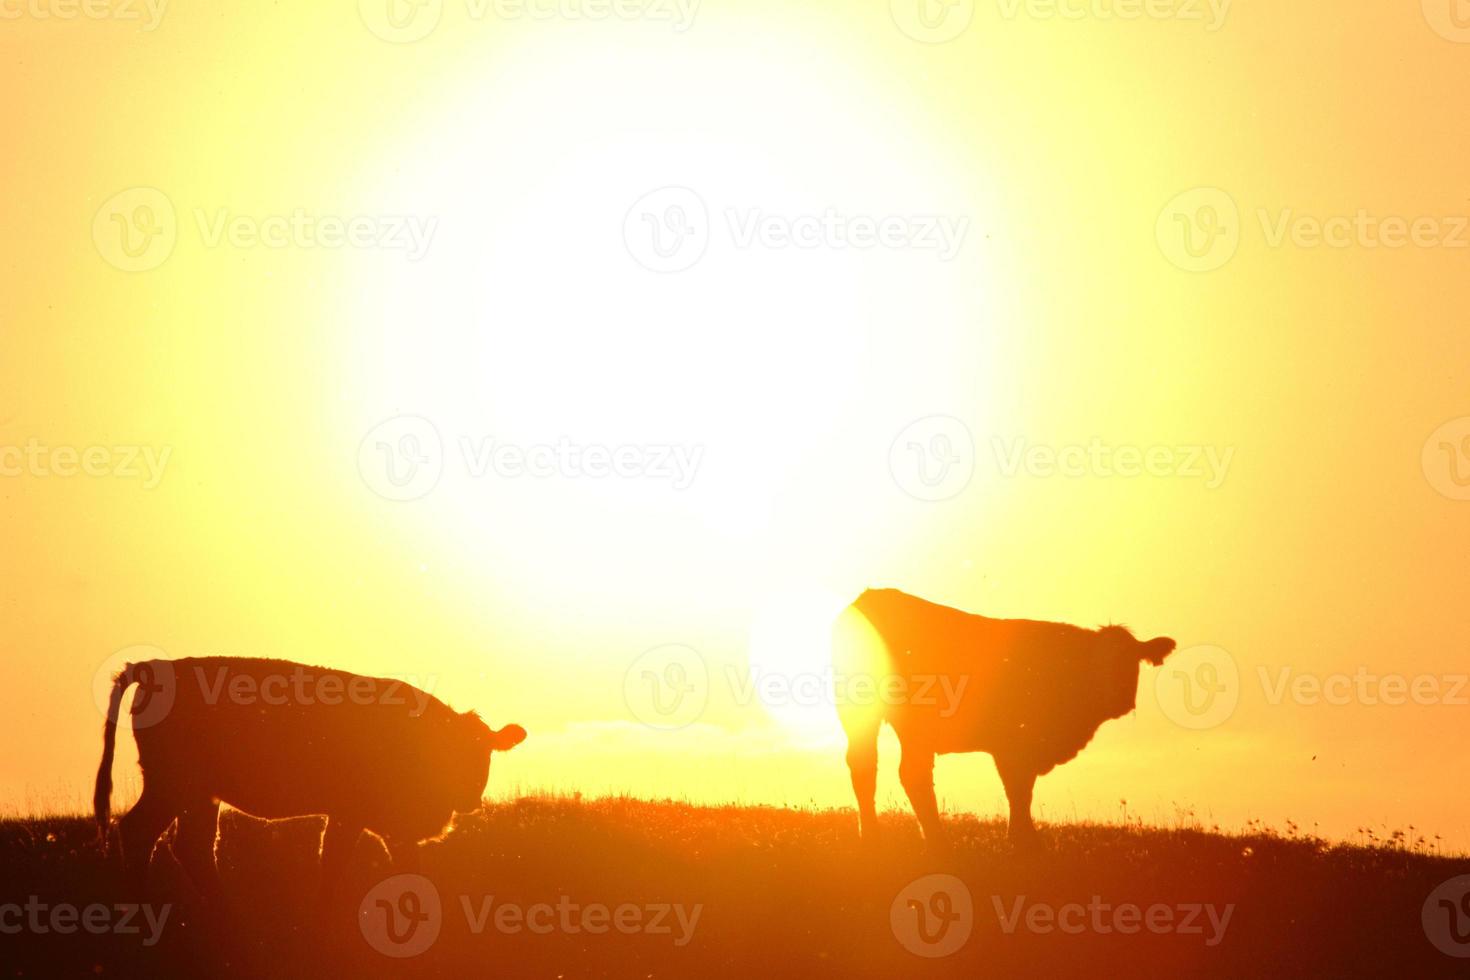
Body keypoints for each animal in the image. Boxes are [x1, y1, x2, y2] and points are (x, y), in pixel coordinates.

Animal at [94, 658, 526, 905]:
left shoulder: (385, 827)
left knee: (190, 846)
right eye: (451, 751)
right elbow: (333, 862)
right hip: (174, 786)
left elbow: (404, 867)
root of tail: (157, 665)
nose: (469, 798)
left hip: (198, 795)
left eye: (485, 753)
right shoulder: (352, 816)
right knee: (140, 833)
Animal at [840, 587, 1170, 846]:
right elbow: (1019, 790)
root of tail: (869, 596)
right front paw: (1024, 840)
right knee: (900, 771)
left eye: (1132, 662)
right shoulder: (1014, 744)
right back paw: (923, 839)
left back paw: (882, 837)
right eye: (1099, 662)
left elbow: (1022, 790)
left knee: (877, 768)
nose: (1122, 701)